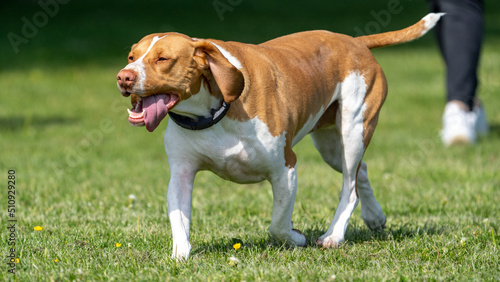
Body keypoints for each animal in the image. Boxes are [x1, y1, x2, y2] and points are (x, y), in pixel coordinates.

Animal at [116, 13, 442, 260]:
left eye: (162, 59)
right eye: (131, 56)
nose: (123, 76)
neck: (213, 111)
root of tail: (354, 41)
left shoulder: (285, 169)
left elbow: (278, 225)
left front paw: (296, 238)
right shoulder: (181, 176)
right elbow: (179, 222)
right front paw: (180, 257)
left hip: (353, 131)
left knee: (350, 187)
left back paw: (333, 236)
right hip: (331, 147)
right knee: (361, 172)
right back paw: (374, 217)